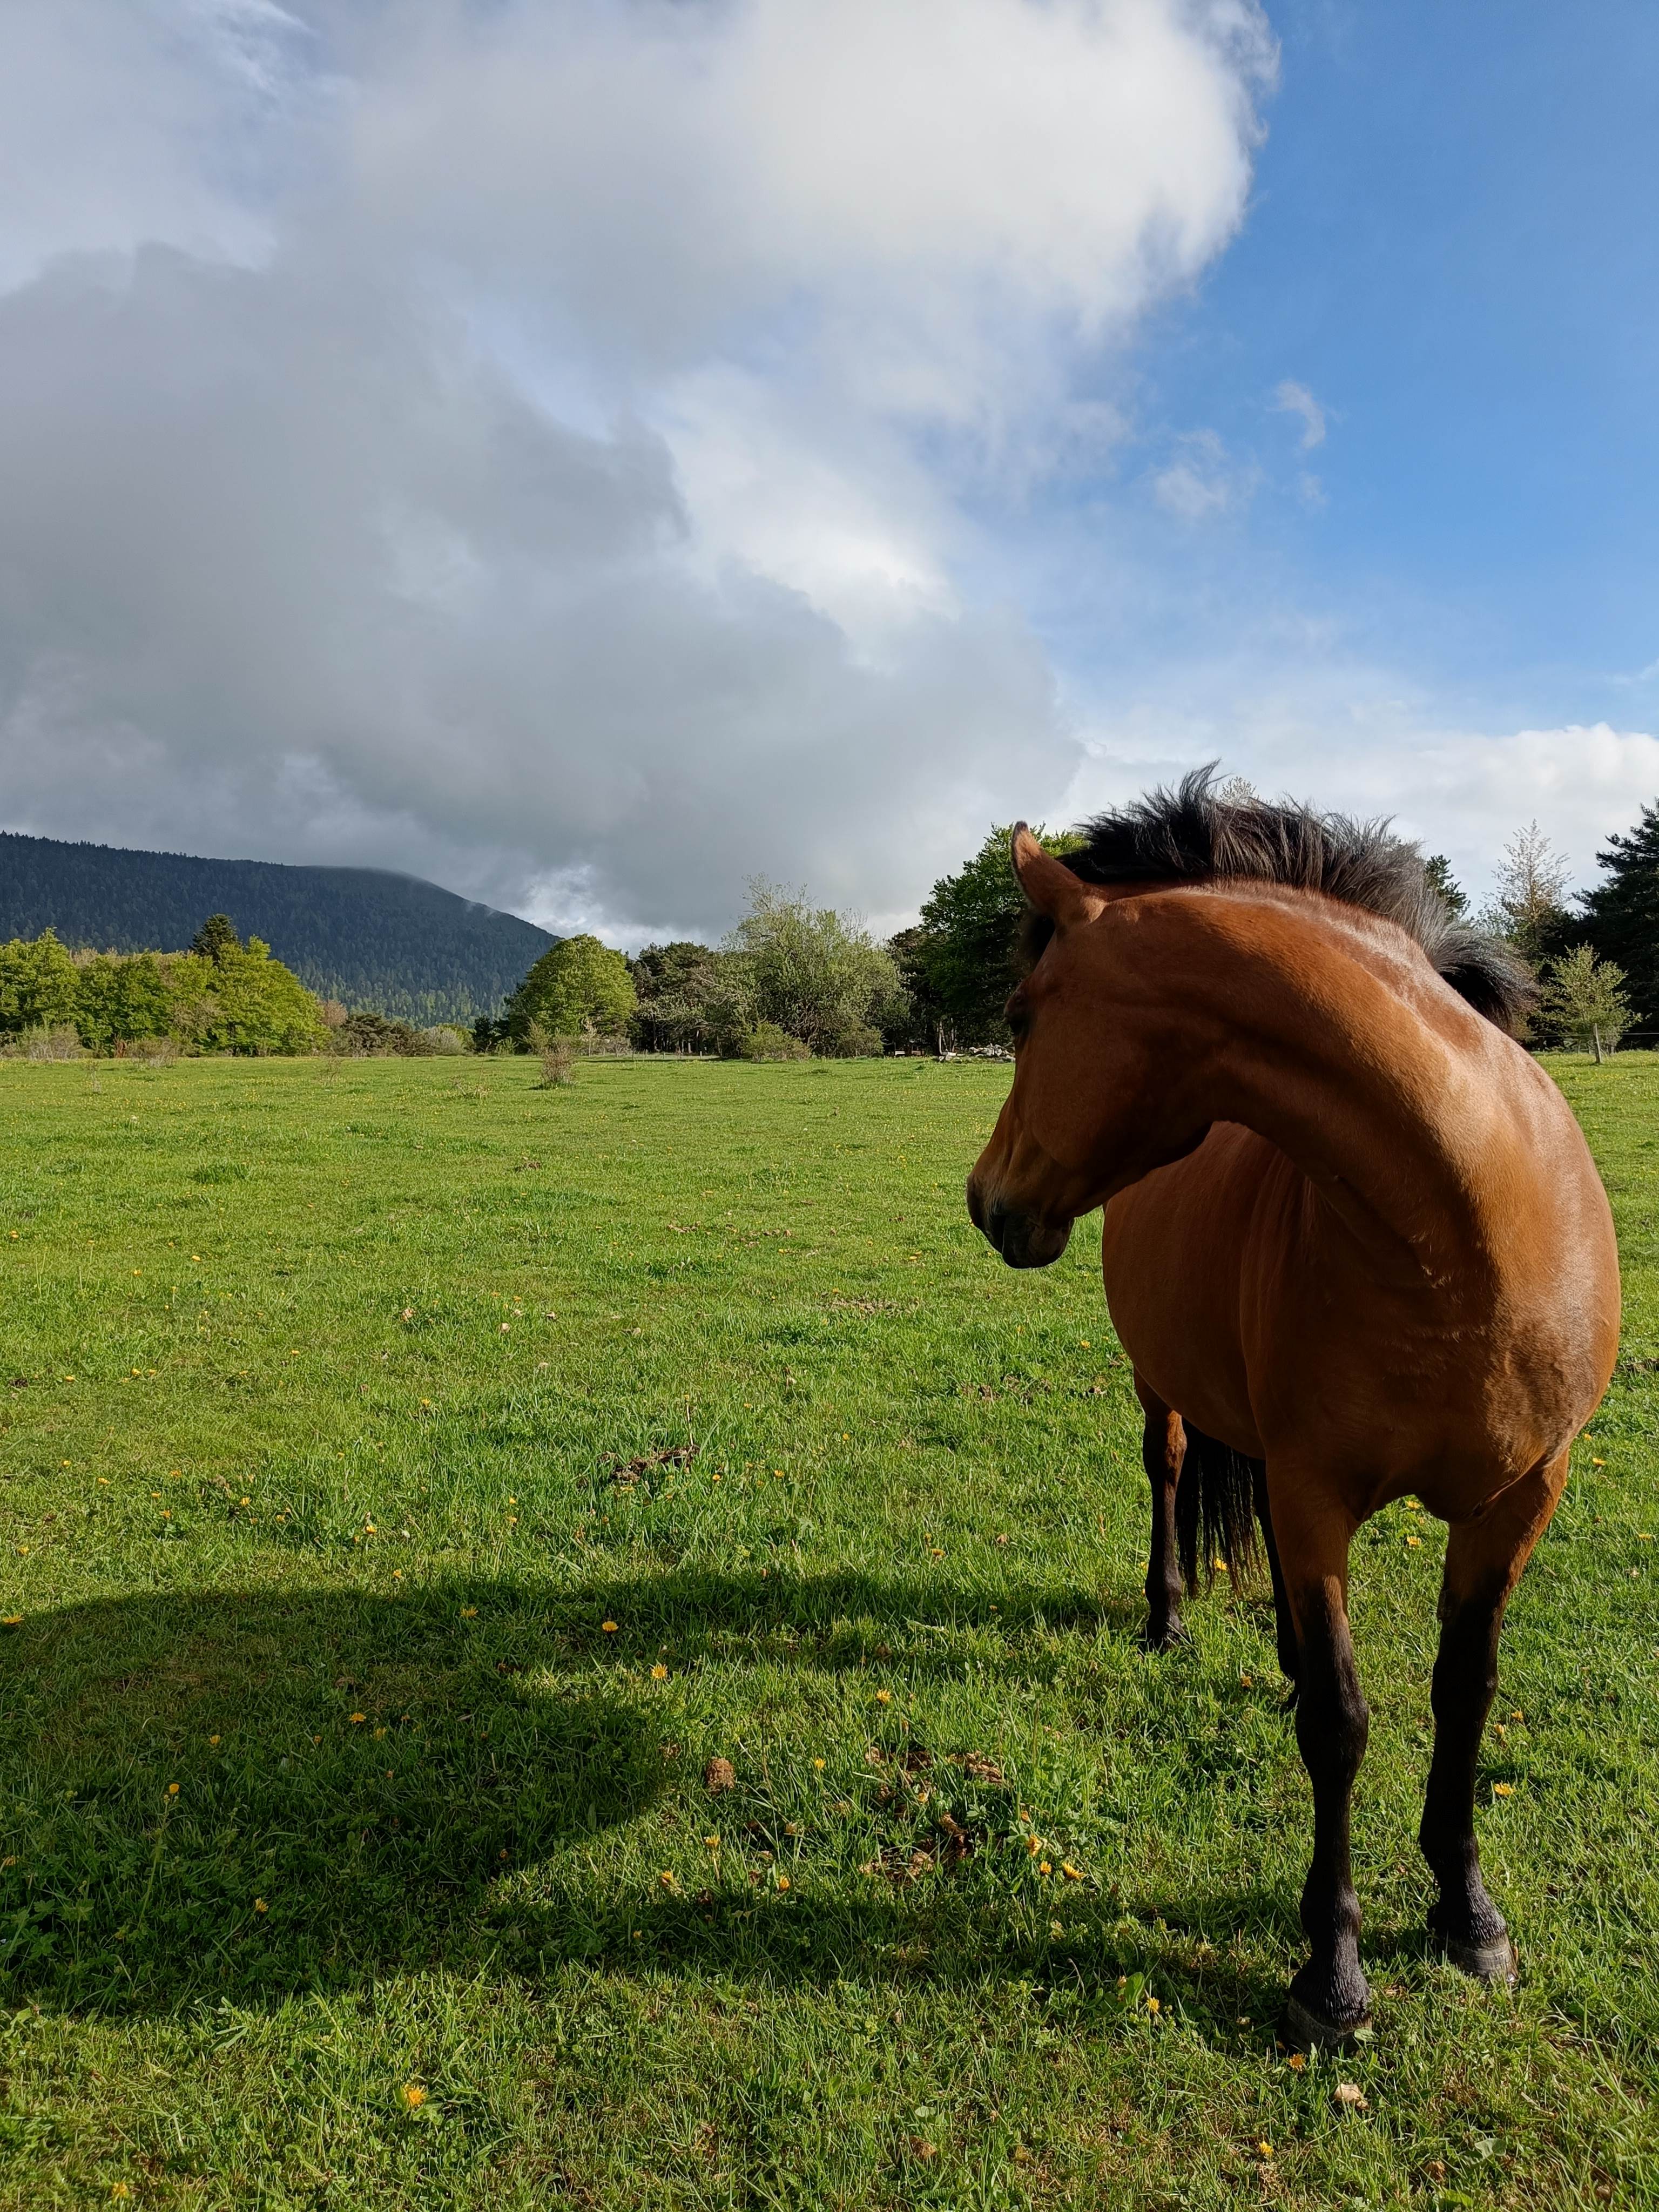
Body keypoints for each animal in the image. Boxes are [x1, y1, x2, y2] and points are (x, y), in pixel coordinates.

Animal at [966, 771, 1620, 2049]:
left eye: (1021, 1013)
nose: (985, 1201)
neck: (1462, 1236)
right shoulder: (1321, 1498)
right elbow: (1343, 1722)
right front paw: (1333, 1971)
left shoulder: (1521, 1497)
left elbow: (1462, 1692)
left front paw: (1468, 1914)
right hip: (1163, 1386)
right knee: (1171, 1471)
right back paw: (1170, 1615)